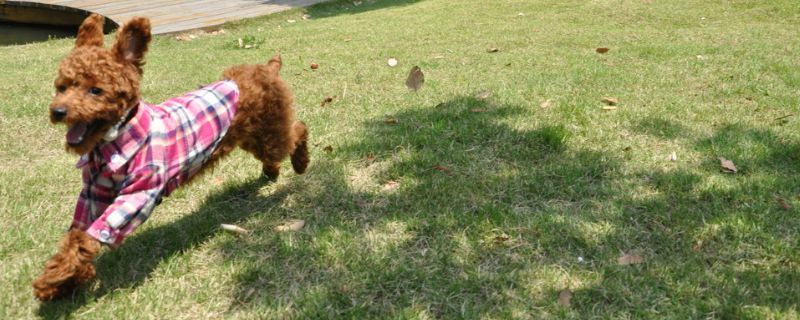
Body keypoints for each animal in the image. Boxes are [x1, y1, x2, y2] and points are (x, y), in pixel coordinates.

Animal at [32, 14, 306, 300]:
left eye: (95, 90)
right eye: (61, 87)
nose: (58, 111)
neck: (114, 142)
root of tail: (267, 68)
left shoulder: (140, 192)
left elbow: (94, 233)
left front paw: (54, 277)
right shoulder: (94, 192)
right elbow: (78, 235)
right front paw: (65, 279)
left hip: (270, 132)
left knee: (297, 131)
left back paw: (301, 163)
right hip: (254, 137)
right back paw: (271, 172)